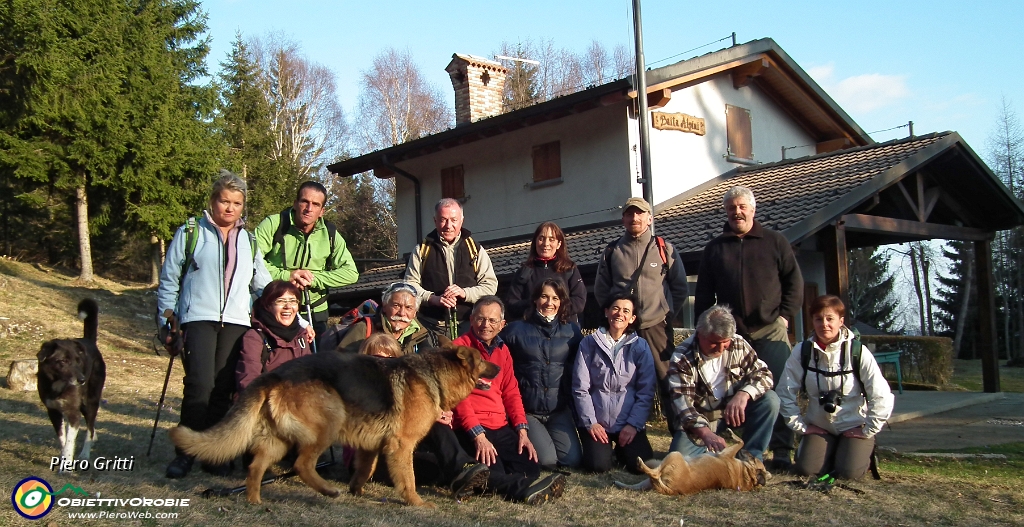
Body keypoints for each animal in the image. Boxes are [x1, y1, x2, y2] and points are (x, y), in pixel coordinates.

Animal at [36, 298, 105, 472]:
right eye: (63, 361)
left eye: (78, 361)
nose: (82, 380)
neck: (58, 385)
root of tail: (88, 341)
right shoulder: (53, 412)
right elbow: (63, 439)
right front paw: (64, 458)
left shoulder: (74, 413)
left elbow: (69, 441)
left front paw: (66, 467)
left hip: (90, 402)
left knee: (90, 428)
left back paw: (85, 454)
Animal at [169, 345, 497, 507]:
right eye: (483, 360)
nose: (500, 366)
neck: (434, 374)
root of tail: (274, 374)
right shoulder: (400, 446)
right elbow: (409, 480)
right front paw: (417, 504)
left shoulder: (371, 446)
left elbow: (364, 470)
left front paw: (358, 493)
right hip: (329, 421)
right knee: (302, 465)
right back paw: (327, 491)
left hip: (278, 441)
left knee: (256, 467)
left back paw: (254, 501)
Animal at [610, 442, 765, 499]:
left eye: (753, 457)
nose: (748, 451)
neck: (744, 475)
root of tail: (674, 491)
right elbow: (739, 442)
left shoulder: (727, 453)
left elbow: (740, 442)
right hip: (651, 480)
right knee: (641, 482)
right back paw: (619, 483)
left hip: (675, 455)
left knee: (654, 473)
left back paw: (640, 464)